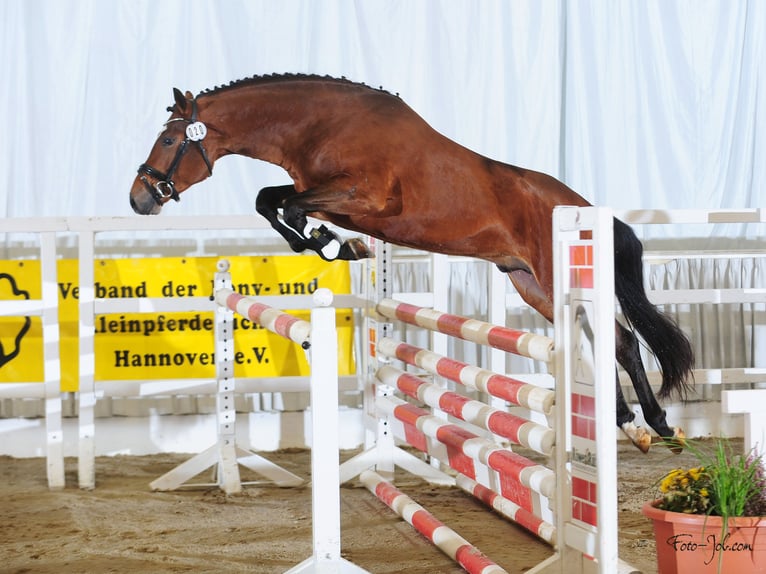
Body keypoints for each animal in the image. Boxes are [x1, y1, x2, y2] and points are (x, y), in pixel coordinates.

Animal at [132, 73, 696, 454]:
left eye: (168, 139)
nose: (140, 199)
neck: (320, 125)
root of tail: (583, 206)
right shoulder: (330, 197)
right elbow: (270, 200)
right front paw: (334, 245)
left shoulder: (364, 198)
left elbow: (287, 206)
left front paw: (333, 247)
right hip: (530, 284)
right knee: (610, 341)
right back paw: (638, 426)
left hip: (555, 277)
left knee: (618, 339)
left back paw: (653, 424)